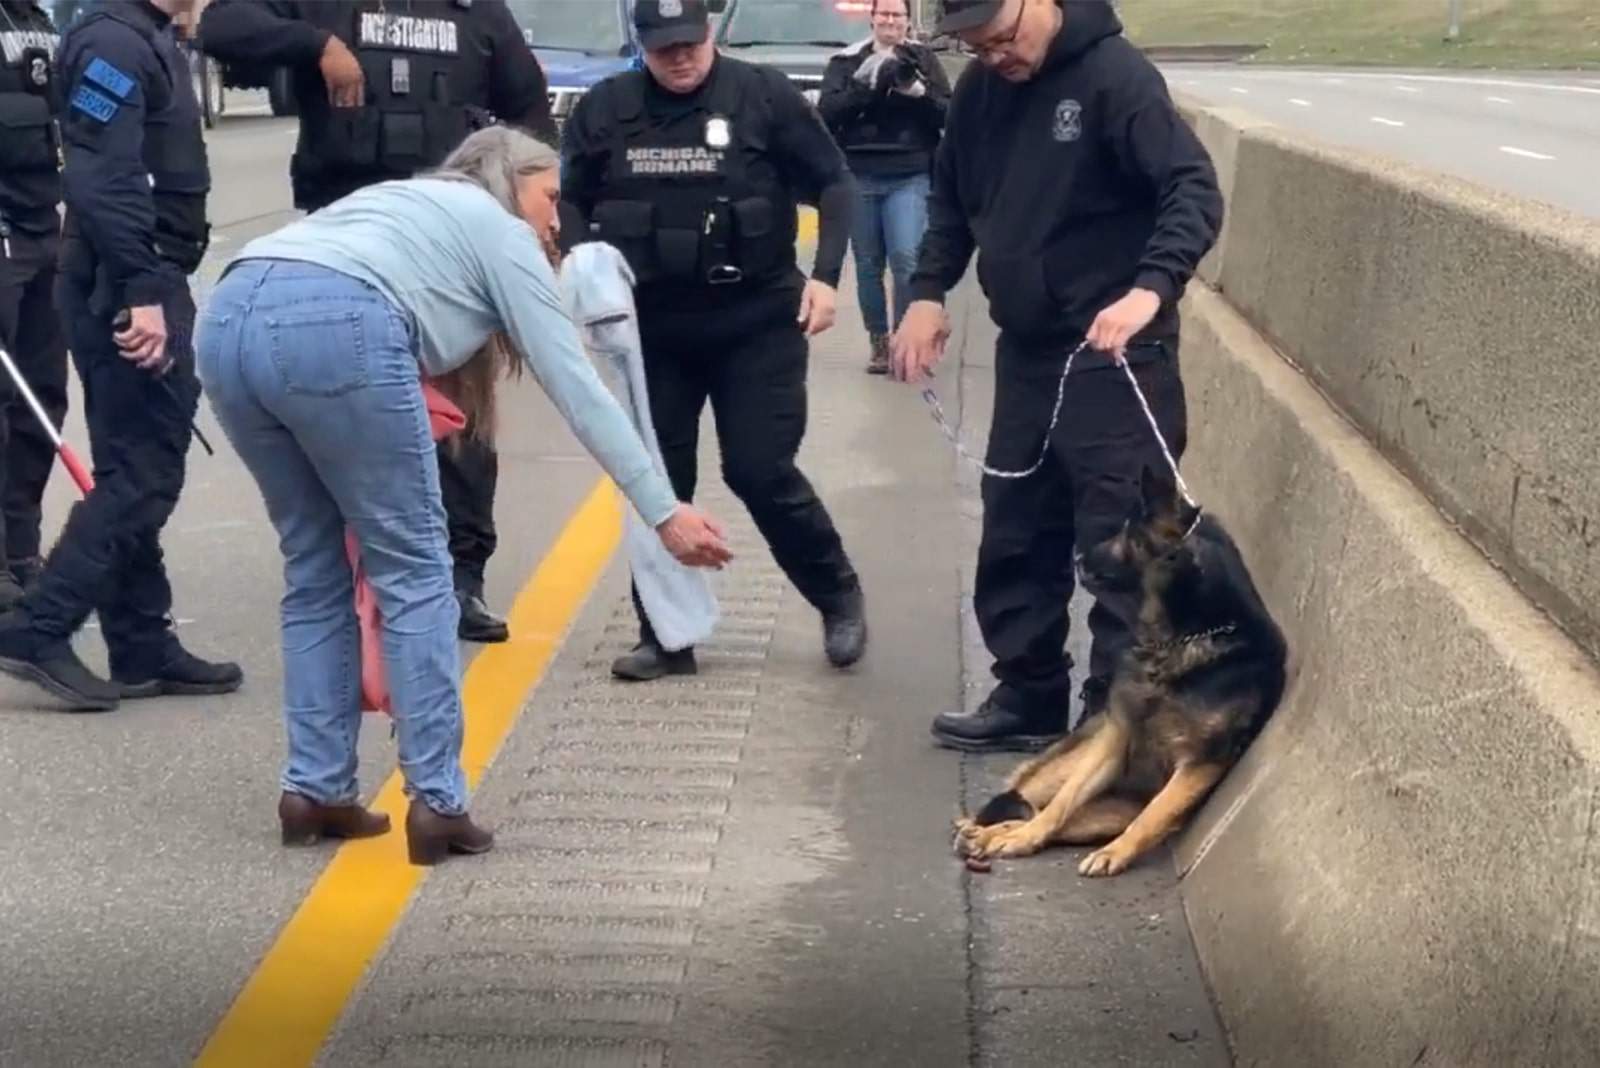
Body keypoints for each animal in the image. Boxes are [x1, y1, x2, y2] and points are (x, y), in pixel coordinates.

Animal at [953, 466, 1280, 876]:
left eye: (1127, 533)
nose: (1078, 557)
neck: (1182, 640)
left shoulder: (1201, 763)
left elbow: (1153, 814)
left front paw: (1115, 852)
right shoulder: (1115, 739)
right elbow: (1064, 801)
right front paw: (1025, 837)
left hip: (1110, 814)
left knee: (1058, 816)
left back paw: (993, 834)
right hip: (1070, 765)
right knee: (1037, 802)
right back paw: (991, 831)